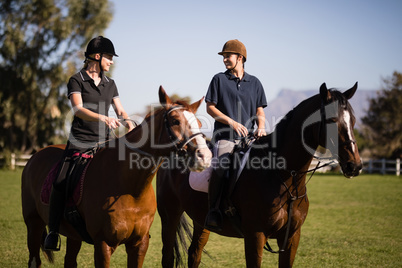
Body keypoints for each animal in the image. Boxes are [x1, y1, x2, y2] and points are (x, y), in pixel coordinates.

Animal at [20, 87, 212, 266]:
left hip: (73, 234)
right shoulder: (103, 245)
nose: (204, 156)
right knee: (34, 259)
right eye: (175, 121)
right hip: (33, 224)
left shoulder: (139, 244)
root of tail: (36, 155)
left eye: (199, 123)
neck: (131, 189)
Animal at [155, 82, 362, 266]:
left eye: (353, 120)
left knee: (194, 254)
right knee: (168, 256)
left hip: (201, 220)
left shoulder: (292, 237)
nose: (355, 166)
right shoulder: (255, 236)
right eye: (332, 120)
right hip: (170, 215)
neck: (285, 179)